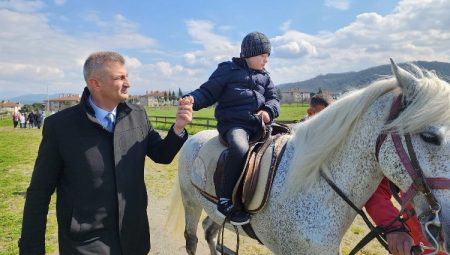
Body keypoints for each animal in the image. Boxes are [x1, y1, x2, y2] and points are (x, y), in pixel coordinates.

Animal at [166, 60, 450, 255]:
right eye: (429, 136)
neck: (313, 184)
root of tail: (194, 138)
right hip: (191, 201)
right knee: (192, 238)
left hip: (212, 210)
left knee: (210, 231)